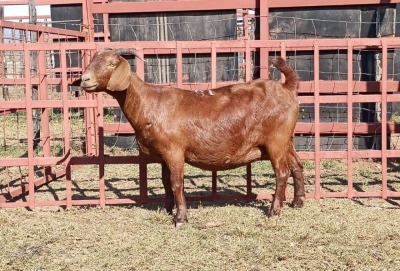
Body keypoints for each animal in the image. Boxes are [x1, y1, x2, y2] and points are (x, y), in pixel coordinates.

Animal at [72, 47, 304, 226]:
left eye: (112, 64)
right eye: (91, 61)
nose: (85, 79)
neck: (149, 103)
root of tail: (287, 87)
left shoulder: (174, 151)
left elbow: (176, 182)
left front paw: (180, 218)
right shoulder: (163, 154)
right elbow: (166, 182)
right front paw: (166, 209)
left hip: (276, 140)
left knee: (282, 172)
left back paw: (274, 211)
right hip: (287, 141)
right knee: (297, 166)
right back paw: (298, 202)